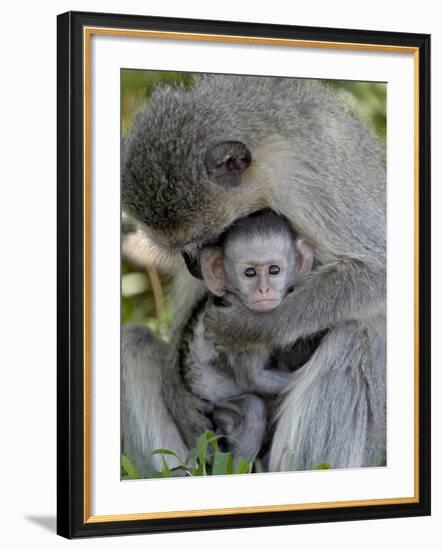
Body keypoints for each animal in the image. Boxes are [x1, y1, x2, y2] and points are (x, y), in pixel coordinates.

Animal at [178, 211, 312, 462]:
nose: (263, 290)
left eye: (274, 270)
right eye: (249, 273)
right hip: (216, 403)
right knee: (252, 408)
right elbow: (253, 379)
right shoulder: (243, 331)